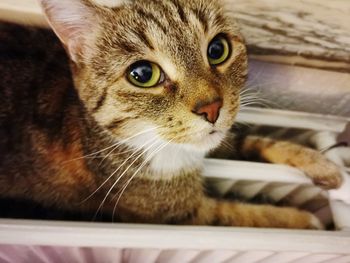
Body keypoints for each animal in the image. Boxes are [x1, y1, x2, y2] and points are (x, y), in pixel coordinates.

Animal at [0, 0, 342, 229]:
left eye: (217, 49)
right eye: (142, 74)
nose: (211, 108)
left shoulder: (219, 137)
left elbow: (252, 139)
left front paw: (322, 164)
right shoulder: (176, 214)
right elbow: (239, 215)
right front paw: (304, 218)